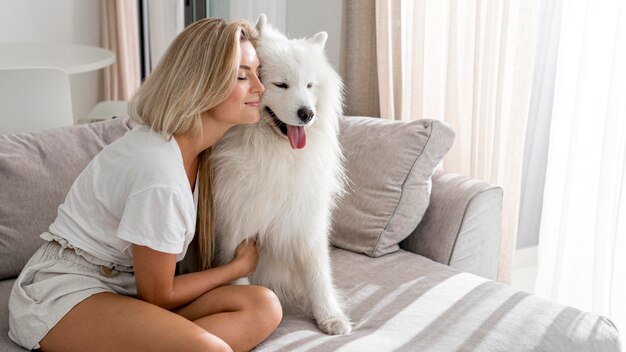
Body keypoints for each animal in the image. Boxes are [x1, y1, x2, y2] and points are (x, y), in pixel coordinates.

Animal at [211, 14, 352, 336]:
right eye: (280, 84)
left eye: (309, 85)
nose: (307, 114)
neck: (274, 153)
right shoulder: (235, 226)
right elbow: (241, 281)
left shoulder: (305, 220)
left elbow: (318, 274)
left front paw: (330, 317)